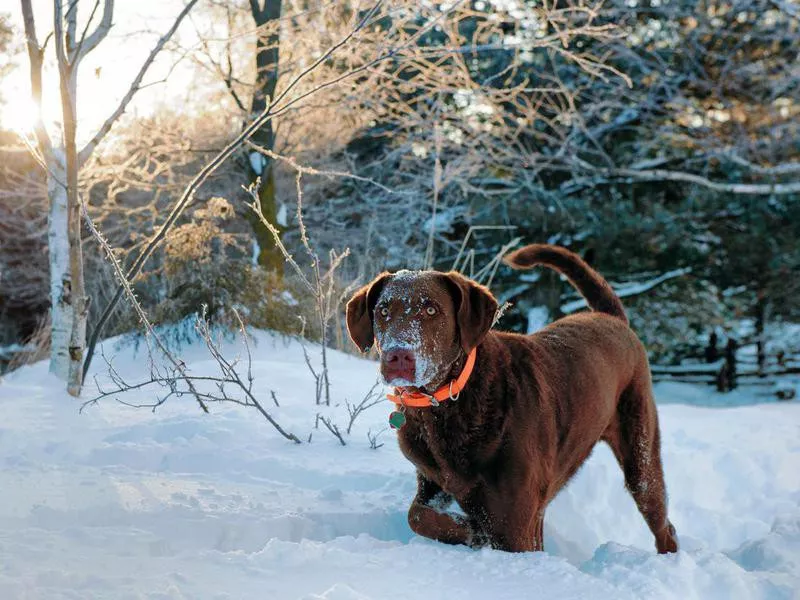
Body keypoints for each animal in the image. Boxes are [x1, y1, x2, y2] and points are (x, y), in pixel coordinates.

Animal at [346, 244, 680, 552]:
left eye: (431, 310)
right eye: (383, 311)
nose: (398, 356)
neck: (451, 402)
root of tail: (613, 319)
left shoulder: (515, 522)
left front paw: (476, 531)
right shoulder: (434, 481)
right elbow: (416, 515)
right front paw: (471, 530)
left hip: (640, 457)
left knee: (664, 524)